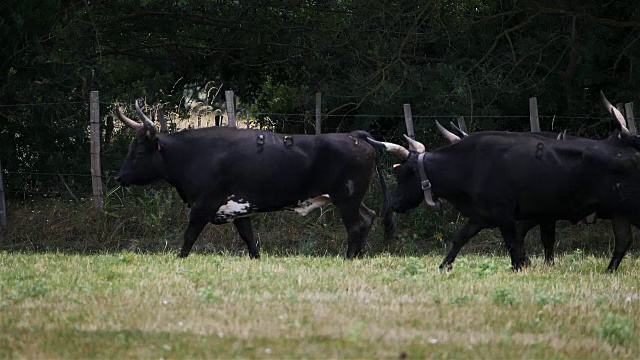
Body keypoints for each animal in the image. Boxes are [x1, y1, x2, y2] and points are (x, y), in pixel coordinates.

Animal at [116, 101, 396, 258]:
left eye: (139, 152)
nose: (120, 177)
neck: (194, 154)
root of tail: (355, 135)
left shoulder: (204, 205)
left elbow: (189, 236)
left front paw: (180, 259)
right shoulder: (240, 208)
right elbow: (249, 239)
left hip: (347, 198)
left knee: (355, 226)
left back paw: (349, 257)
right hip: (351, 198)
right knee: (368, 217)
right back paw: (358, 256)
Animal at [368, 94, 636, 272]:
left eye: (403, 173)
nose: (393, 204)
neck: (470, 163)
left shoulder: (510, 216)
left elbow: (515, 244)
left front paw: (521, 266)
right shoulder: (481, 215)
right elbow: (460, 238)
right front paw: (444, 266)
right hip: (619, 213)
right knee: (623, 241)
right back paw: (609, 271)